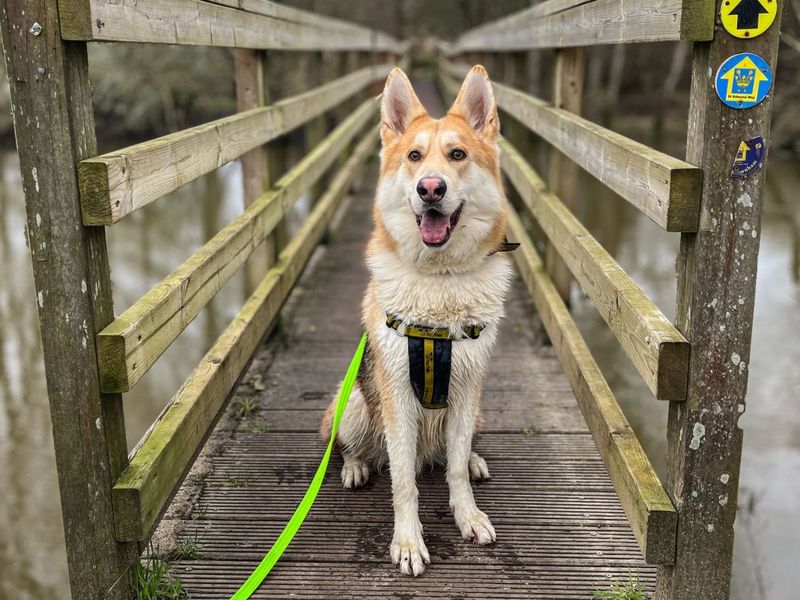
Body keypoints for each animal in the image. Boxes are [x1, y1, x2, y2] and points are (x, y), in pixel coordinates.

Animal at [320, 67, 512, 576]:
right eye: (414, 156)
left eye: (458, 154)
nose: (431, 188)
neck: (439, 281)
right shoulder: (398, 400)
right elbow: (403, 480)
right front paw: (407, 542)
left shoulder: (466, 391)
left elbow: (456, 469)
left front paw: (468, 515)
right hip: (354, 403)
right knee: (355, 446)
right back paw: (355, 465)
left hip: (477, 410)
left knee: (452, 457)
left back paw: (474, 461)